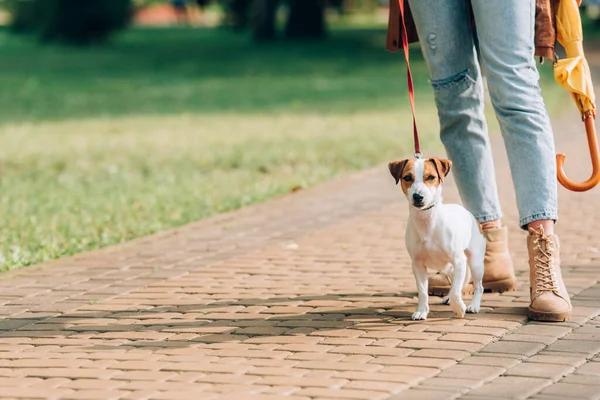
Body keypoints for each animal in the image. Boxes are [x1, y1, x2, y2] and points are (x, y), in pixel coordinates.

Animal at [390, 155, 488, 318]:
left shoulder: (459, 260)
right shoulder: (417, 265)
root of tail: (469, 213)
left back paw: (473, 305)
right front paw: (421, 311)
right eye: (407, 177)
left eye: (431, 177)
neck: (427, 222)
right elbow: (423, 292)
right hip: (446, 267)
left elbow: (456, 291)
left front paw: (458, 308)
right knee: (455, 281)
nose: (418, 196)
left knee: (477, 286)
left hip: (475, 262)